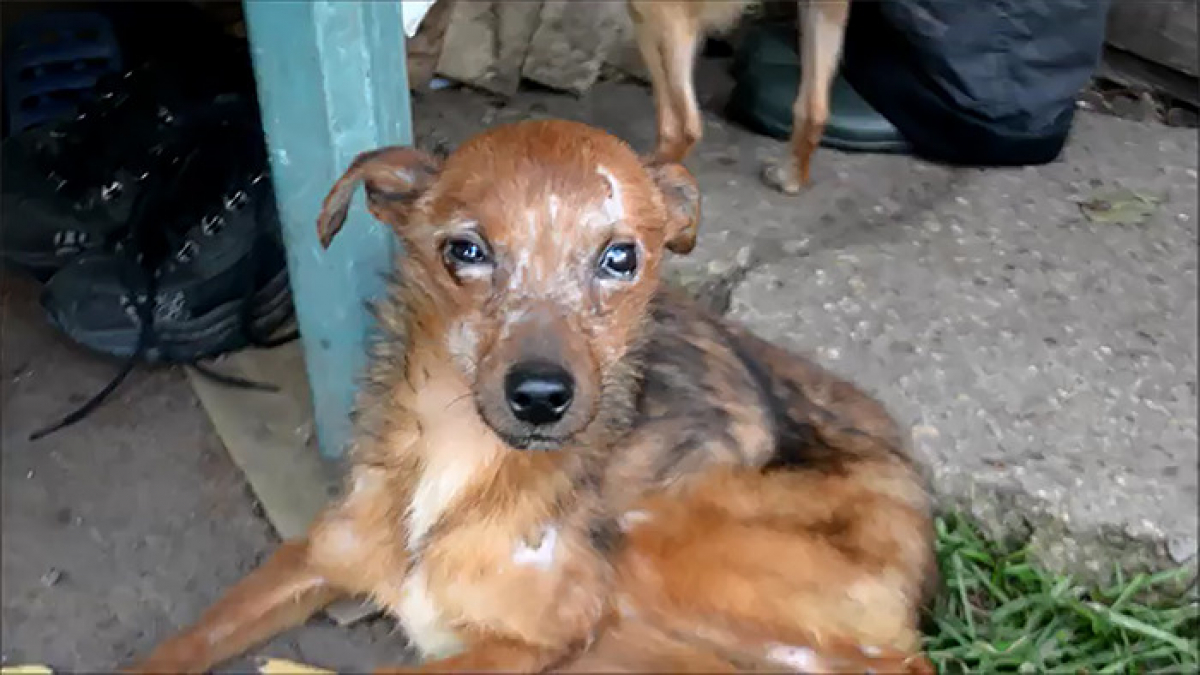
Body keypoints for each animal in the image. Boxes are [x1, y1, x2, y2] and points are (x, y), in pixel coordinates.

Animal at [131, 120, 936, 672]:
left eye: (622, 258)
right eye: (466, 250)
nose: (542, 395)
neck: (461, 462)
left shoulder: (533, 639)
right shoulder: (315, 553)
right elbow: (186, 639)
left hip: (653, 553)